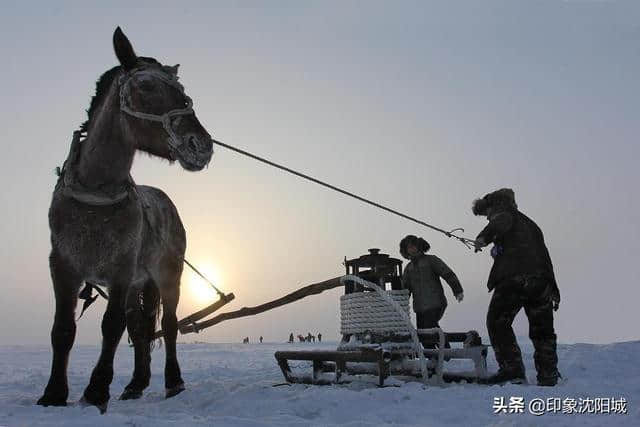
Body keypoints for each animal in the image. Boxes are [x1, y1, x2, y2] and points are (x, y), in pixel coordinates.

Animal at [37, 27, 215, 414]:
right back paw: (135, 384)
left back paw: (173, 381)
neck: (95, 197)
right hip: (138, 283)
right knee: (140, 327)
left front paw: (96, 390)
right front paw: (54, 393)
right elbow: (63, 329)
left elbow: (111, 326)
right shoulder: (63, 267)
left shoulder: (120, 269)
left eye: (183, 92)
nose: (201, 146)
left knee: (168, 323)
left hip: (166, 275)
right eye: (145, 86)